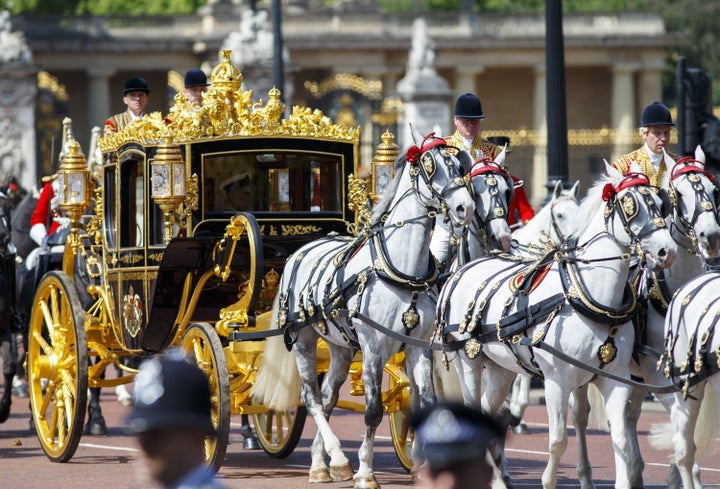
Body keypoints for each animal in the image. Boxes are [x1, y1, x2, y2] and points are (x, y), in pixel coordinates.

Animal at [250, 127, 476, 486]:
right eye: (430, 166)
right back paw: (339, 457)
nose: (464, 207)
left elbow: (425, 403)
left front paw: (422, 466)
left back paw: (321, 465)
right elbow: (372, 411)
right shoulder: (372, 348)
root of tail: (300, 251)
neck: (400, 272)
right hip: (303, 340)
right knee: (311, 398)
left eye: (458, 165)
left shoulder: (418, 348)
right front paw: (366, 472)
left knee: (327, 397)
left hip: (340, 347)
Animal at [436, 163, 676, 488]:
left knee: (488, 411)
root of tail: (463, 269)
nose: (667, 251)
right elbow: (559, 440)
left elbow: (621, 439)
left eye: (661, 203)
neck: (586, 295)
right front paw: (549, 479)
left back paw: (497, 475)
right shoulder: (556, 380)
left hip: (500, 368)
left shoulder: (615, 379)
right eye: (630, 206)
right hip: (469, 361)